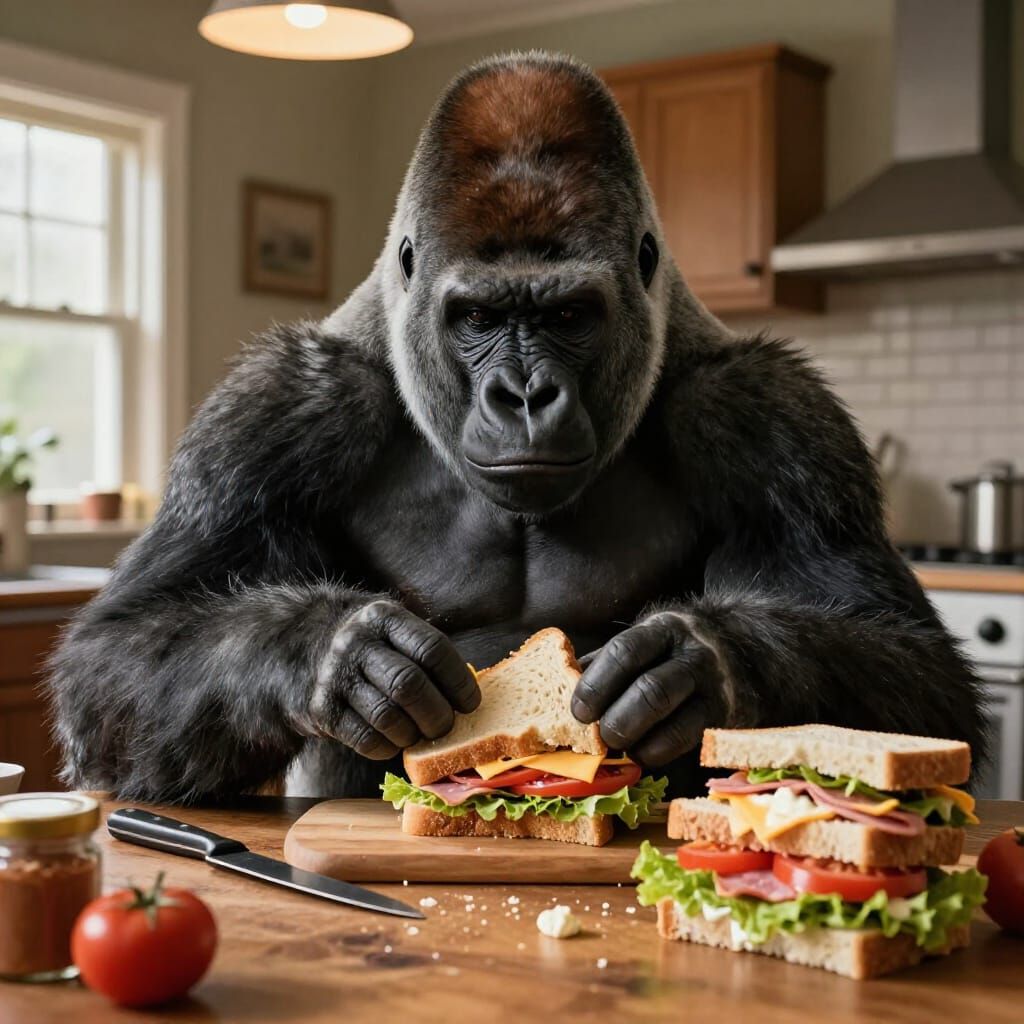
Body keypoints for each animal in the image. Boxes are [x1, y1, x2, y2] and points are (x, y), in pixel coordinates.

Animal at [49, 52, 986, 804]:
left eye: (568, 315)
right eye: (478, 317)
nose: (525, 396)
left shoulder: (773, 422)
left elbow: (924, 678)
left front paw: (702, 665)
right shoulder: (274, 414)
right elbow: (113, 650)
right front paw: (335, 655)